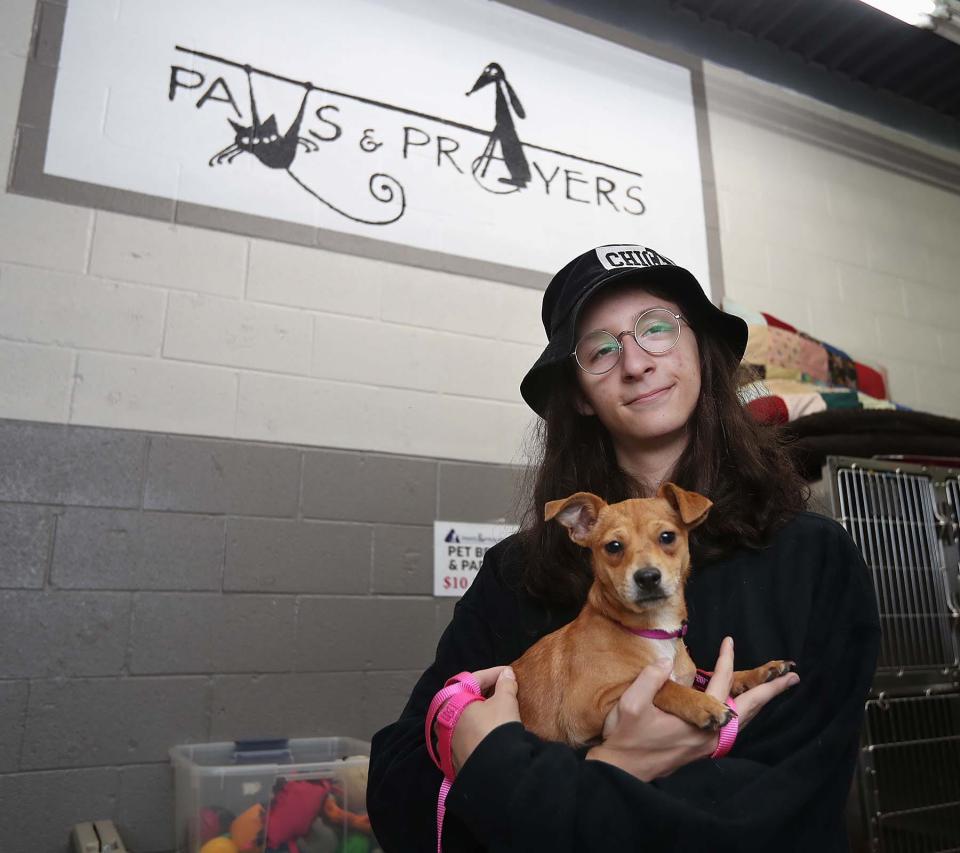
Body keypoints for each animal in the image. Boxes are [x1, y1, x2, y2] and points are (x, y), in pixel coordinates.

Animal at [510, 482, 796, 748]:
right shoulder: (585, 709)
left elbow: (710, 673)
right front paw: (703, 704)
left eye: (667, 537)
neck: (654, 630)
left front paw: (758, 672)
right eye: (613, 546)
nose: (647, 577)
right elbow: (661, 686)